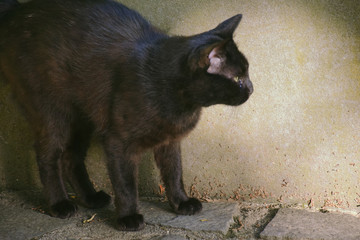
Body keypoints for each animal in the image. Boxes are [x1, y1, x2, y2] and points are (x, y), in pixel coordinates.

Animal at [0, 0, 253, 232]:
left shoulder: (170, 141)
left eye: (247, 73)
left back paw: (91, 198)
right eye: (238, 78)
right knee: (48, 156)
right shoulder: (118, 142)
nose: (252, 88)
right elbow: (126, 184)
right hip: (53, 112)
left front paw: (181, 203)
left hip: (82, 117)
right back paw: (60, 204)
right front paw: (128, 217)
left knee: (70, 157)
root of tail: (19, 9)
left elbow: (174, 172)